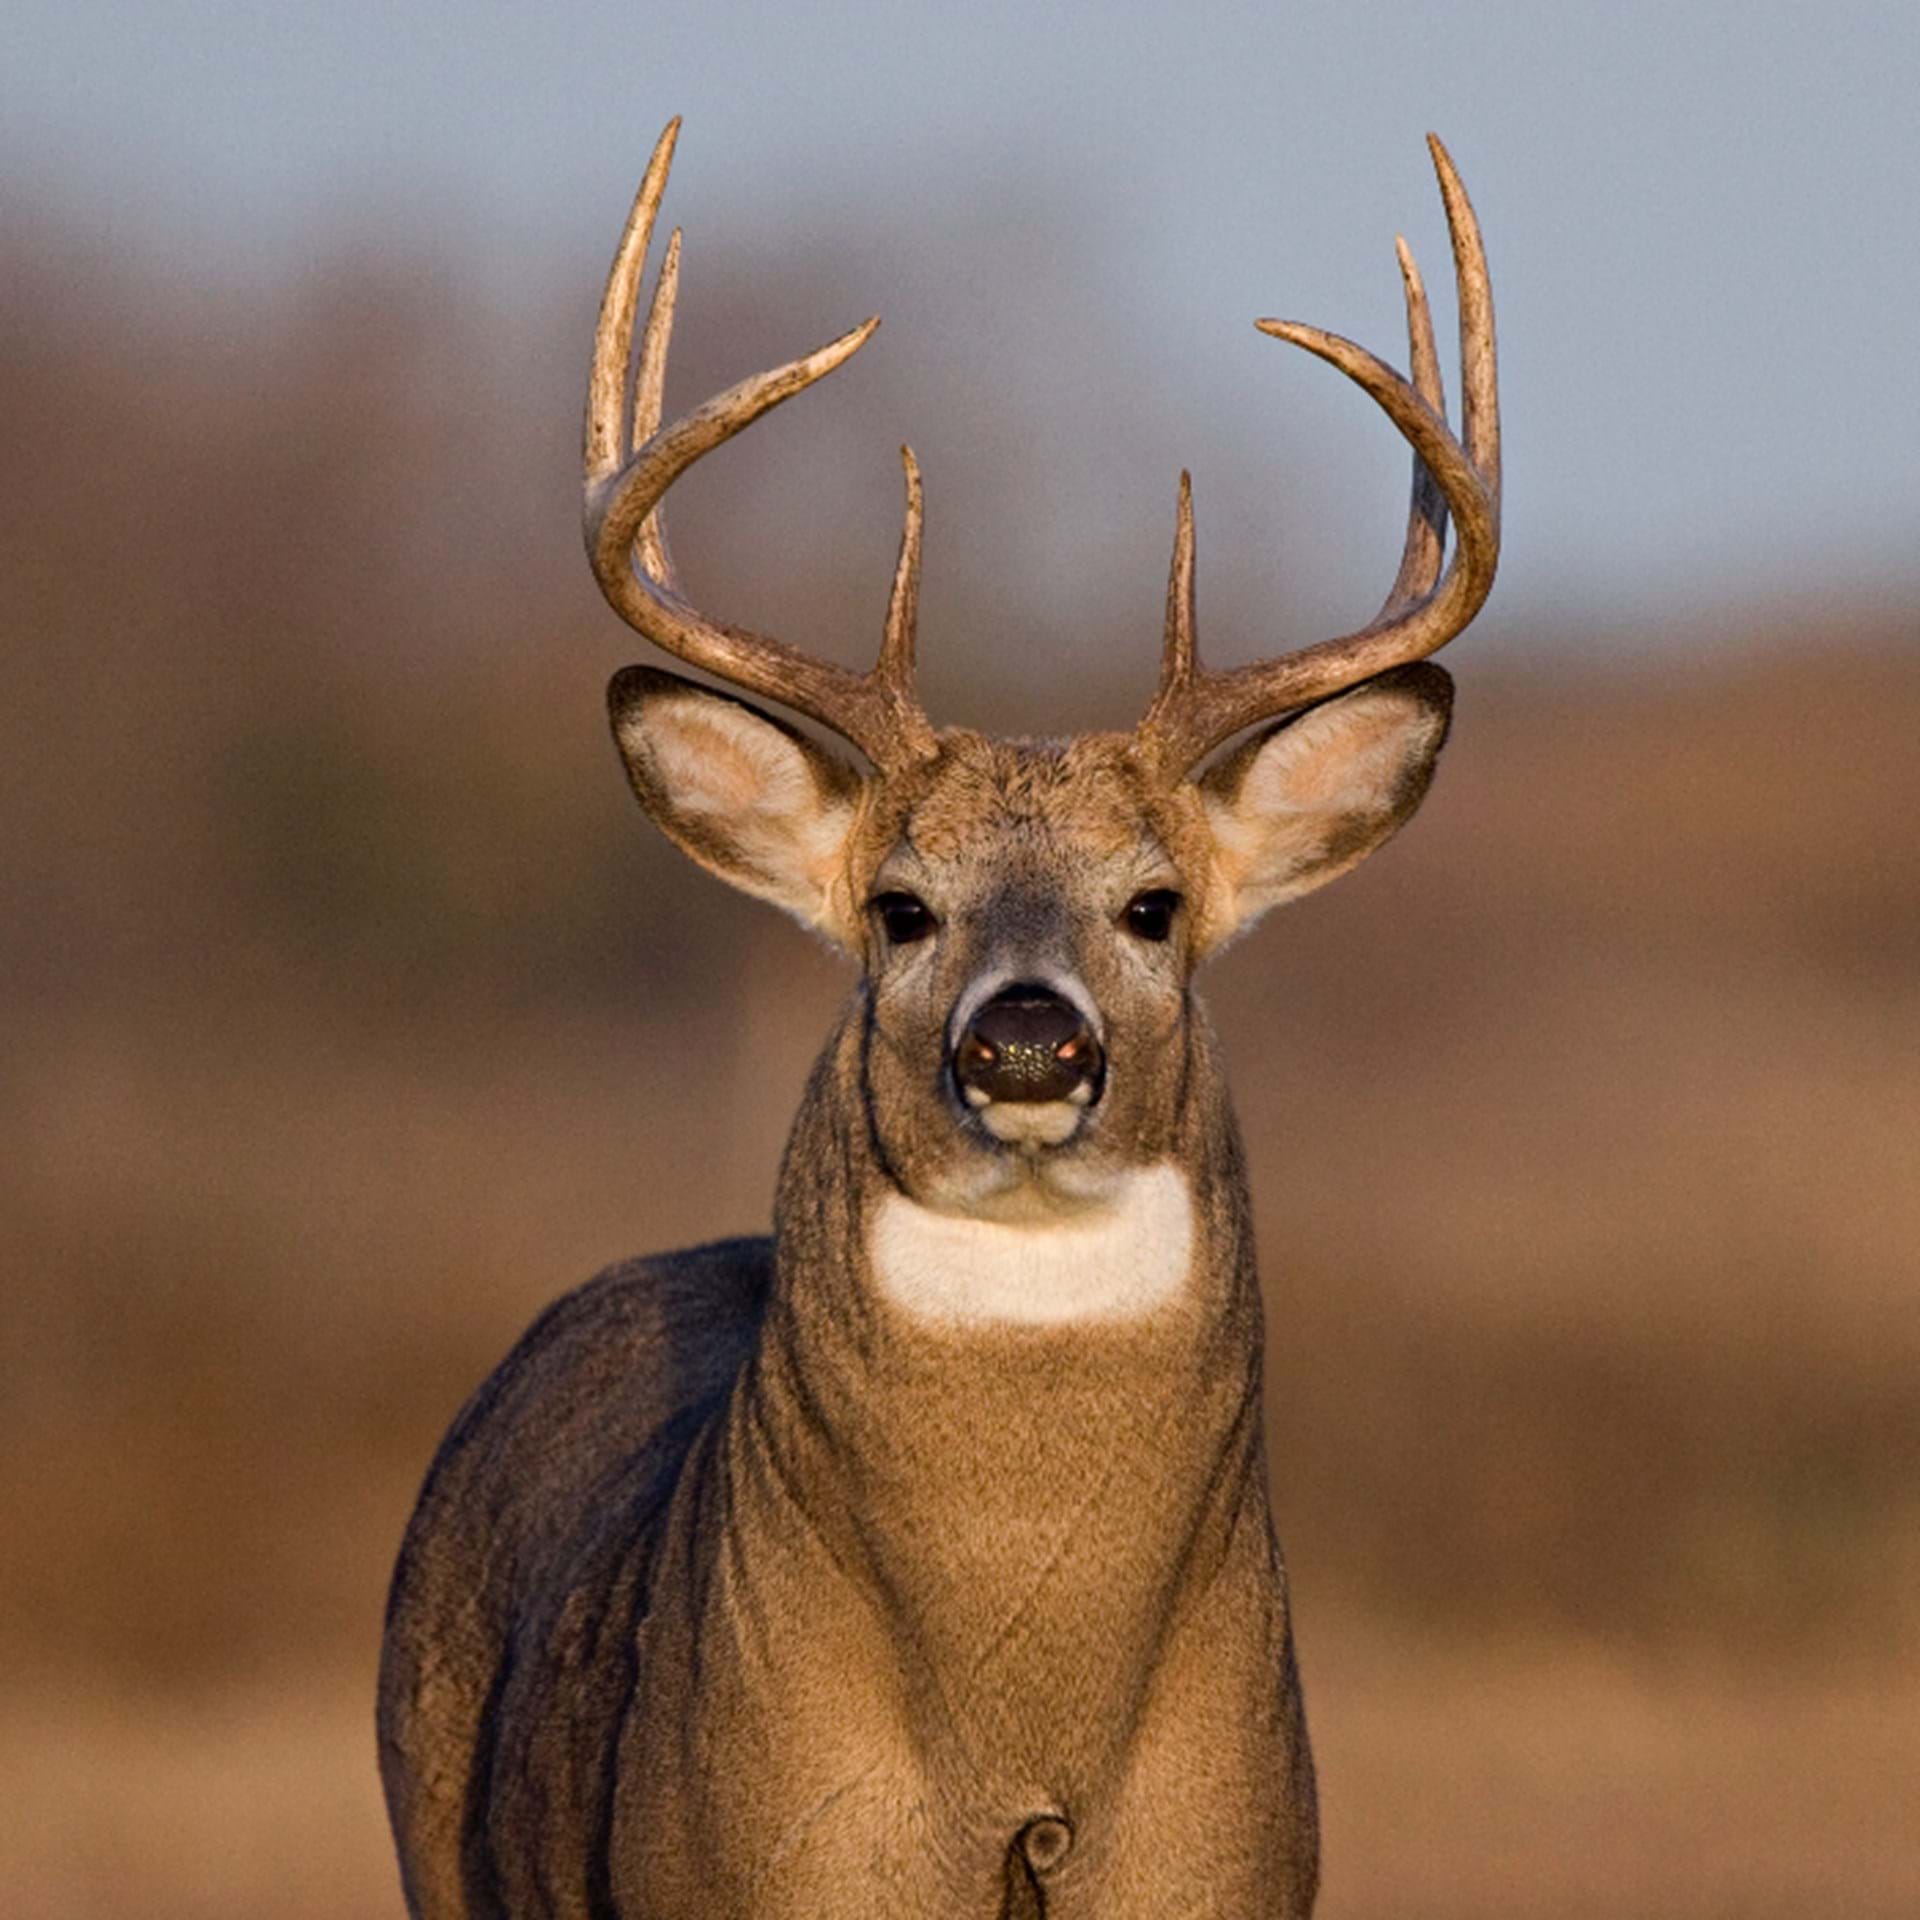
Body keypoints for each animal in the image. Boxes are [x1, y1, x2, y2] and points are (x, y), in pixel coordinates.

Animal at [377, 117, 1499, 1919]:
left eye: (1153, 905)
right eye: (901, 906)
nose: (1027, 1040)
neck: (1023, 1766)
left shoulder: (1235, 1867)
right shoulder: (751, 1869)